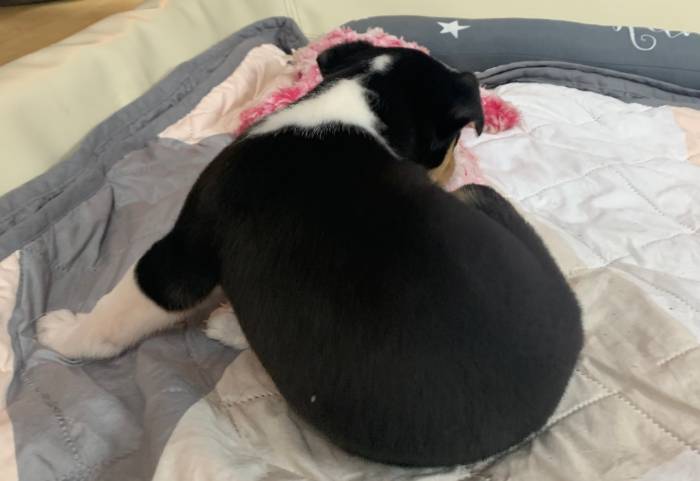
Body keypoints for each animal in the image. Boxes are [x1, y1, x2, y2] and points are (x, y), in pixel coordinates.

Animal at [38, 42, 583, 467]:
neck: (362, 98)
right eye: (447, 144)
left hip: (478, 197)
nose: (445, 176)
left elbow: (123, 310)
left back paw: (226, 325)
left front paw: (62, 333)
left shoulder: (187, 247)